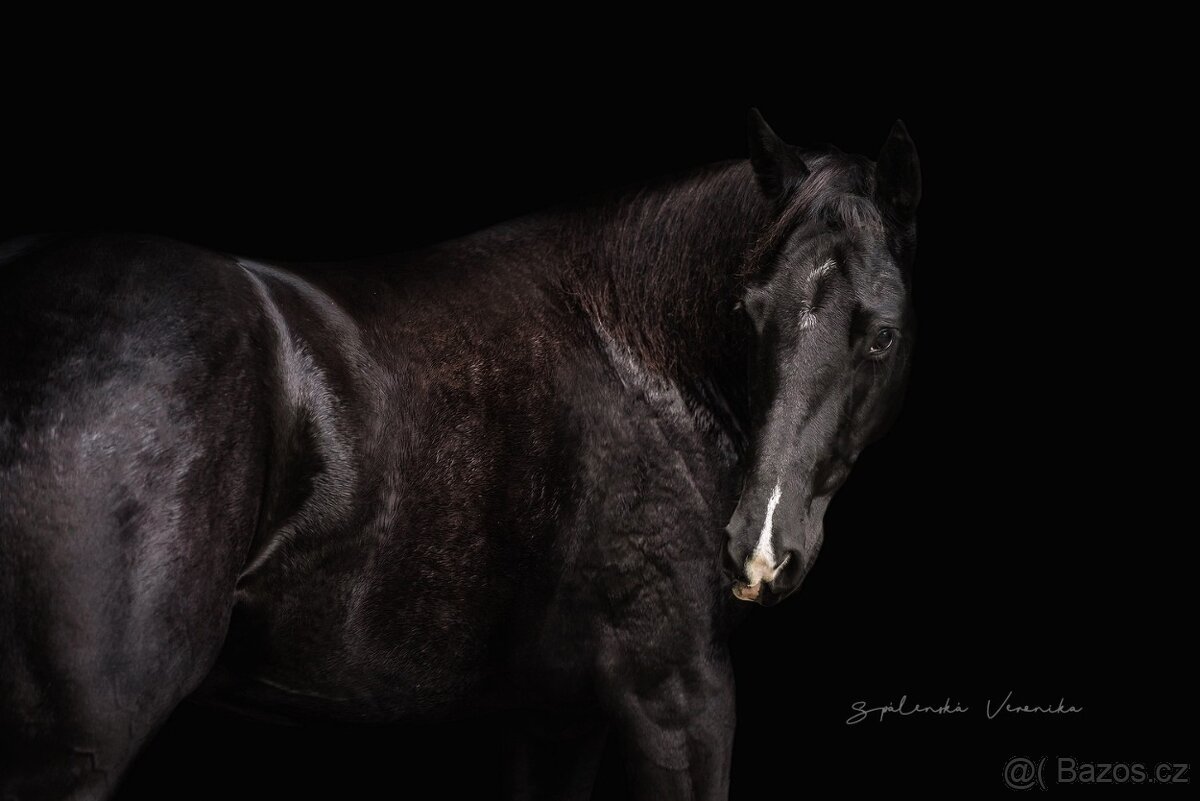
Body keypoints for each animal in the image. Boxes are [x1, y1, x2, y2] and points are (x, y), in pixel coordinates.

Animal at [0, 110, 920, 800]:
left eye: (881, 333)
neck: (638, 354)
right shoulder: (678, 696)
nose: (759, 548)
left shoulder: (555, 717)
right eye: (751, 311)